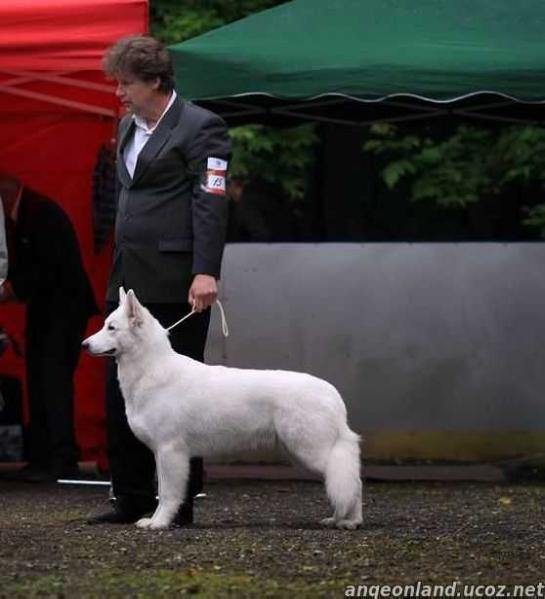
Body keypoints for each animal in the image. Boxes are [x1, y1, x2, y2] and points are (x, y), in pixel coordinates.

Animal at [83, 290, 364, 528]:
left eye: (111, 327)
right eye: (105, 325)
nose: (84, 344)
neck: (151, 369)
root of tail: (333, 394)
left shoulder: (169, 451)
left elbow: (167, 493)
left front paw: (159, 522)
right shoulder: (161, 453)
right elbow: (162, 490)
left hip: (311, 450)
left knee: (350, 482)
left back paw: (349, 521)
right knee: (350, 481)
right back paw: (343, 519)